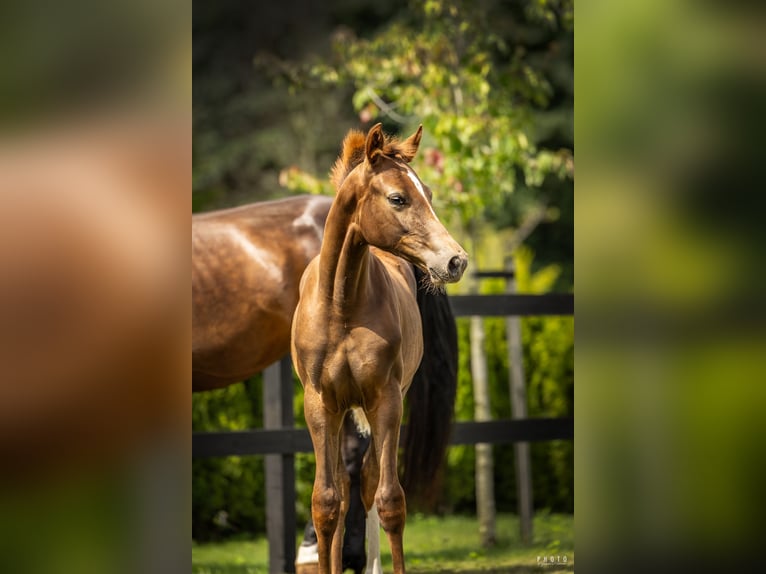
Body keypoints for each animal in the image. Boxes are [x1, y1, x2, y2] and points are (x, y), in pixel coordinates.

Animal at [291, 123, 468, 574]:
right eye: (397, 198)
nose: (456, 261)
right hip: (341, 413)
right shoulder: (320, 403)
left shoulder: (386, 400)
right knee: (343, 485)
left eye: (429, 194)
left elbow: (390, 500)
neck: (341, 305)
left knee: (369, 480)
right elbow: (326, 501)